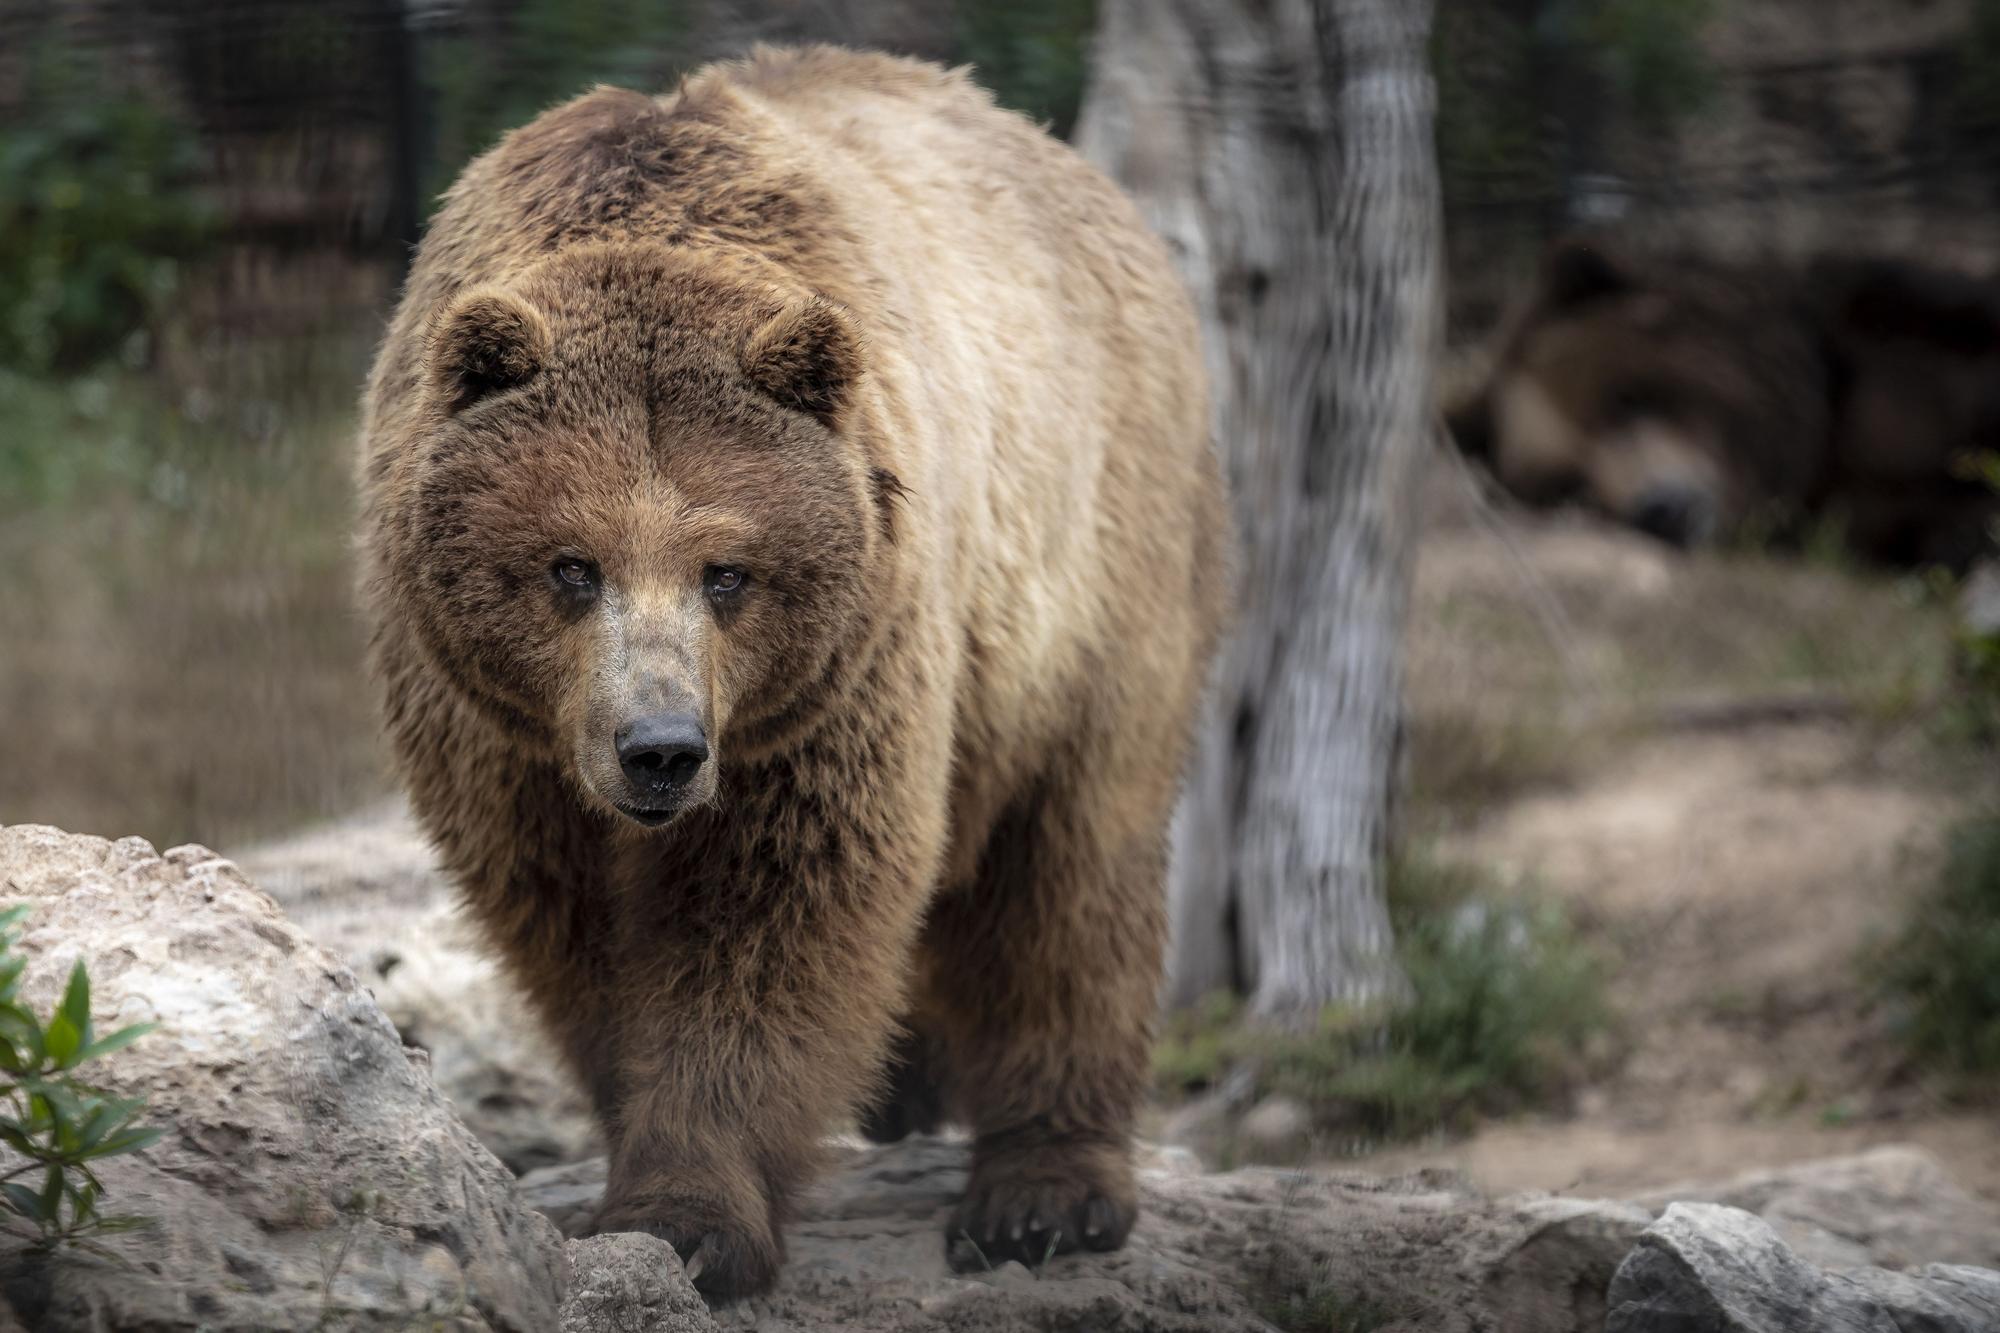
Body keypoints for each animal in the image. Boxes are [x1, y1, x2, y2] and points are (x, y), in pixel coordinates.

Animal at [362, 46, 1232, 1288]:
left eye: (727, 571)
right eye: (570, 565)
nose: (661, 750)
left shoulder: (834, 685)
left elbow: (774, 912)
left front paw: (690, 1216)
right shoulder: (498, 738)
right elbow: (577, 939)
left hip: (1094, 576)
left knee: (1066, 863)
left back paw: (1041, 1193)